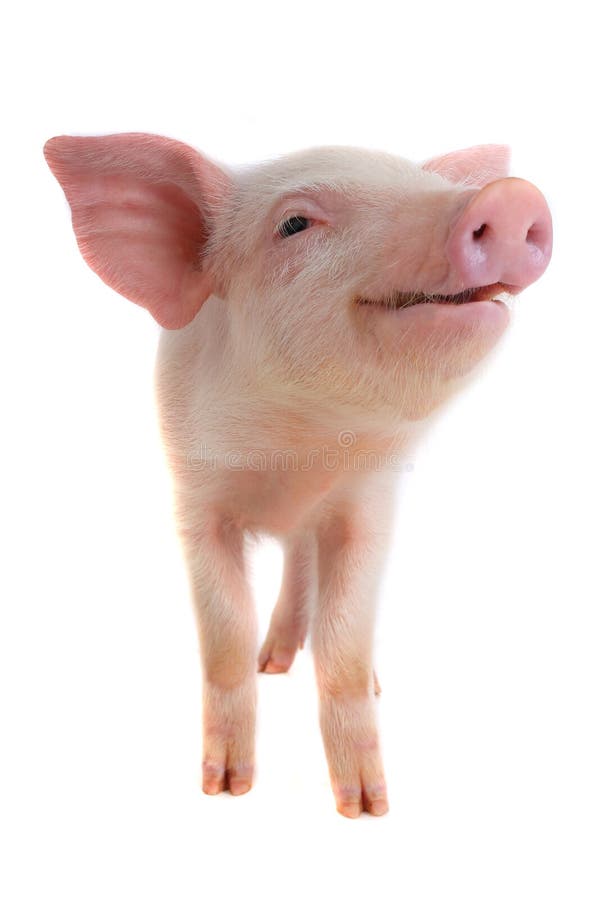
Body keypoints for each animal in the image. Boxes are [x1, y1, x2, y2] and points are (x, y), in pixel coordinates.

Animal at [44, 133, 552, 817]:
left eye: (426, 184)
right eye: (294, 224)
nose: (513, 196)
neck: (298, 452)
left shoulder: (367, 507)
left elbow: (343, 642)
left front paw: (365, 807)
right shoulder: (195, 499)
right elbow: (225, 638)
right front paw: (226, 788)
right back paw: (273, 664)